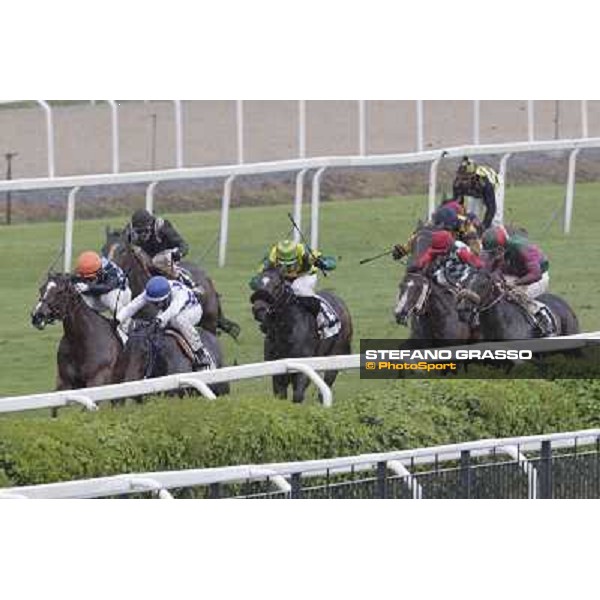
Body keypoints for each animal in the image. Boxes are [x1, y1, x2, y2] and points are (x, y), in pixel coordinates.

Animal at [251, 270, 354, 406]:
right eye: (256, 284)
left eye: (277, 286)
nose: (259, 309)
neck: (285, 330)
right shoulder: (277, 368)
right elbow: (280, 396)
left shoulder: (303, 368)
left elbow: (298, 396)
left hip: (336, 355)